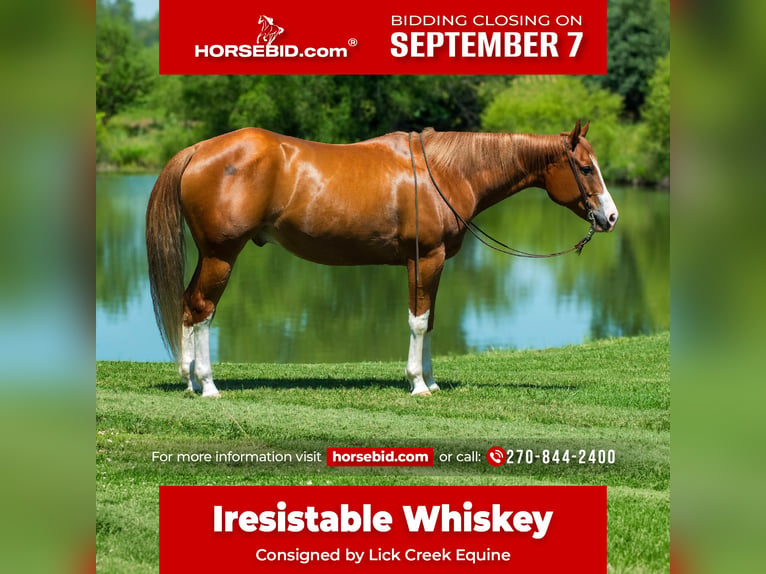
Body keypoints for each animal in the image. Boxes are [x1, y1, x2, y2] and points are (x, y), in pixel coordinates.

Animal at [146, 121, 618, 398]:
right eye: (585, 168)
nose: (610, 217)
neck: (444, 173)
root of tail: (197, 149)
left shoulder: (431, 263)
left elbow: (430, 321)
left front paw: (431, 380)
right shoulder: (426, 259)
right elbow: (418, 321)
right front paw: (417, 384)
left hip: (210, 255)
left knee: (187, 306)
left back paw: (189, 379)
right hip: (222, 254)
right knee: (203, 310)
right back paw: (208, 385)